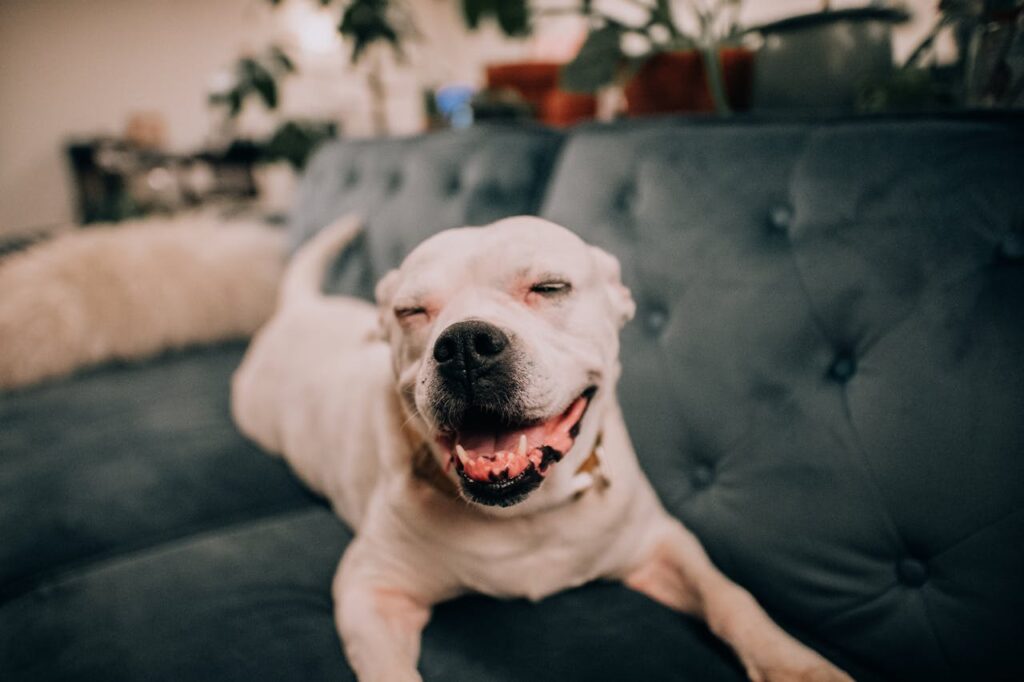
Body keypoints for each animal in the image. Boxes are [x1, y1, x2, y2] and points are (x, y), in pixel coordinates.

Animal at [230, 214, 847, 679]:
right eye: (411, 311)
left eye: (550, 287)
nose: (463, 345)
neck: (528, 516)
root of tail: (297, 309)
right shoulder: (370, 591)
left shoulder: (661, 546)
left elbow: (731, 597)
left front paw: (798, 667)